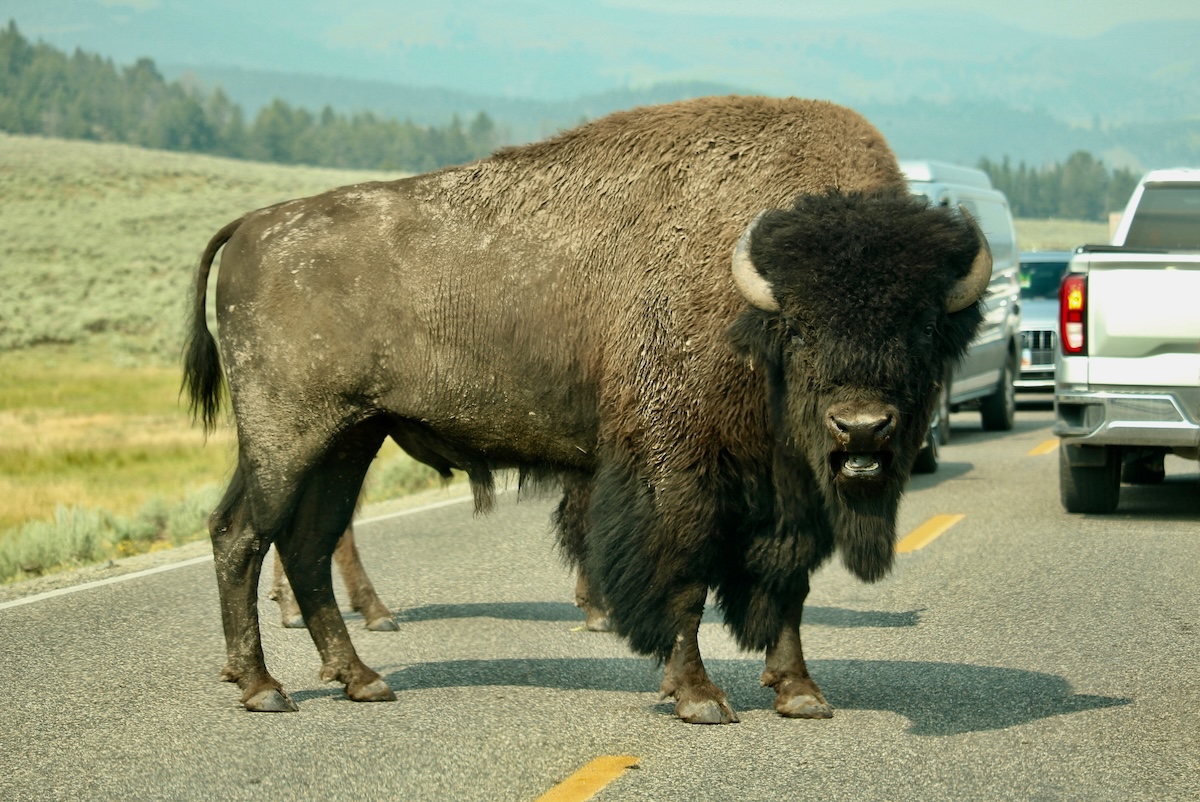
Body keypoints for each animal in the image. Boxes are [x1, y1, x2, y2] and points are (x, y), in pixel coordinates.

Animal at [184, 95, 989, 723]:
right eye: (800, 326)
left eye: (922, 327)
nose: (863, 427)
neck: (746, 306)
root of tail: (253, 226)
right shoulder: (675, 471)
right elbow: (682, 578)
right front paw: (698, 698)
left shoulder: (788, 497)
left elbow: (786, 587)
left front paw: (800, 694)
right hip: (288, 437)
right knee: (242, 535)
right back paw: (264, 688)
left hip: (348, 440)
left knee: (307, 544)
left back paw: (361, 680)